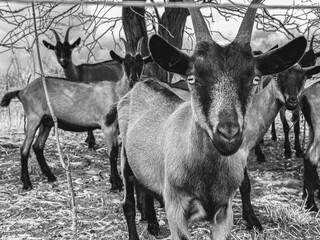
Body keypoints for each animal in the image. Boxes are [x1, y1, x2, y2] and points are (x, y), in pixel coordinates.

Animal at [0, 38, 152, 191]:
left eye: (141, 64)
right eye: (124, 64)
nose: (133, 80)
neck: (116, 92)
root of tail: (22, 91)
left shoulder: (115, 126)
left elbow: (115, 151)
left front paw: (115, 181)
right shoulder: (107, 125)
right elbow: (112, 153)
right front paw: (116, 184)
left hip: (46, 122)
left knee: (37, 146)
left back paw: (50, 177)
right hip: (33, 117)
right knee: (24, 148)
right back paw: (27, 183)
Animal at [112, 0, 308, 238]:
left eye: (255, 78)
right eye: (192, 78)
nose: (228, 133)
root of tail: (140, 84)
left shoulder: (224, 211)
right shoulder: (175, 208)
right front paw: (253, 220)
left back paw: (151, 222)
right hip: (125, 156)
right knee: (128, 203)